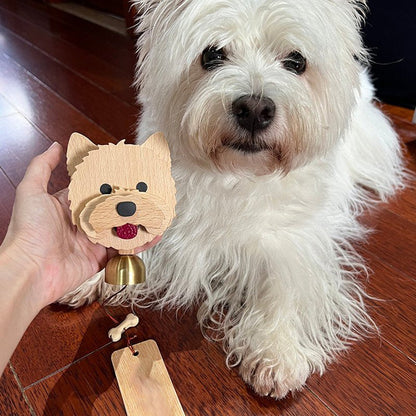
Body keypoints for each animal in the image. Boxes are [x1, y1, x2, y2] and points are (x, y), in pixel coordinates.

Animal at [62, 0, 406, 398]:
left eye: (296, 61)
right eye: (212, 55)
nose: (255, 109)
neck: (236, 173)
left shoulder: (292, 239)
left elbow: (284, 285)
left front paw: (276, 351)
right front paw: (83, 270)